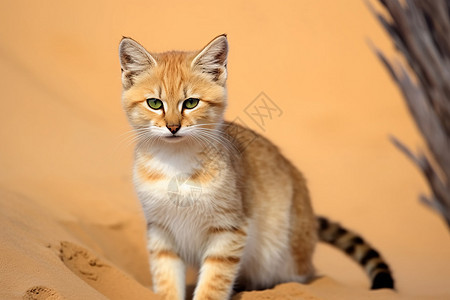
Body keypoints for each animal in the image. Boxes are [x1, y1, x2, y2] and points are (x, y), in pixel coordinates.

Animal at [117, 34, 394, 298]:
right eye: (154, 103)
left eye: (191, 103)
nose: (173, 127)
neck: (175, 160)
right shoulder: (161, 231)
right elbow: (166, 279)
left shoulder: (229, 229)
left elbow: (213, 283)